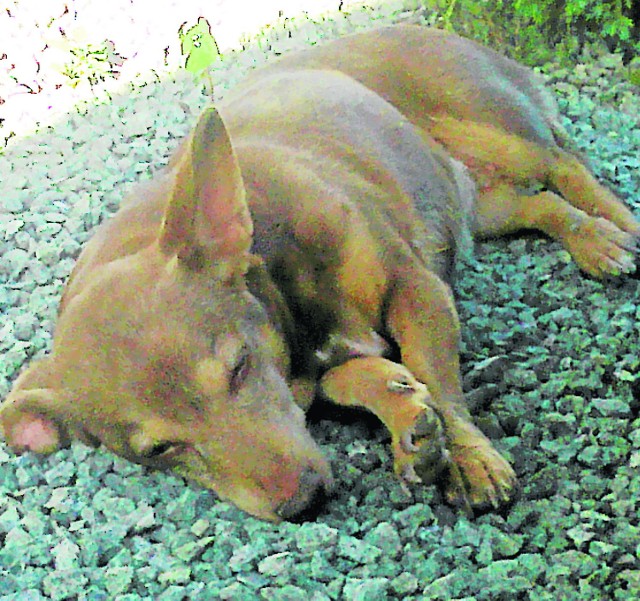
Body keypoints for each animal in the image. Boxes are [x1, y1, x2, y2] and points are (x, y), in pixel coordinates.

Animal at [2, 24, 636, 520]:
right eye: (160, 450)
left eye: (239, 368)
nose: (300, 502)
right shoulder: (324, 370)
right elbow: (366, 379)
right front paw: (407, 416)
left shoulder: (417, 289)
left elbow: (440, 381)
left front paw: (468, 457)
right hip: (482, 202)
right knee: (542, 204)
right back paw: (591, 239)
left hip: (494, 131)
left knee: (565, 166)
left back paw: (616, 229)